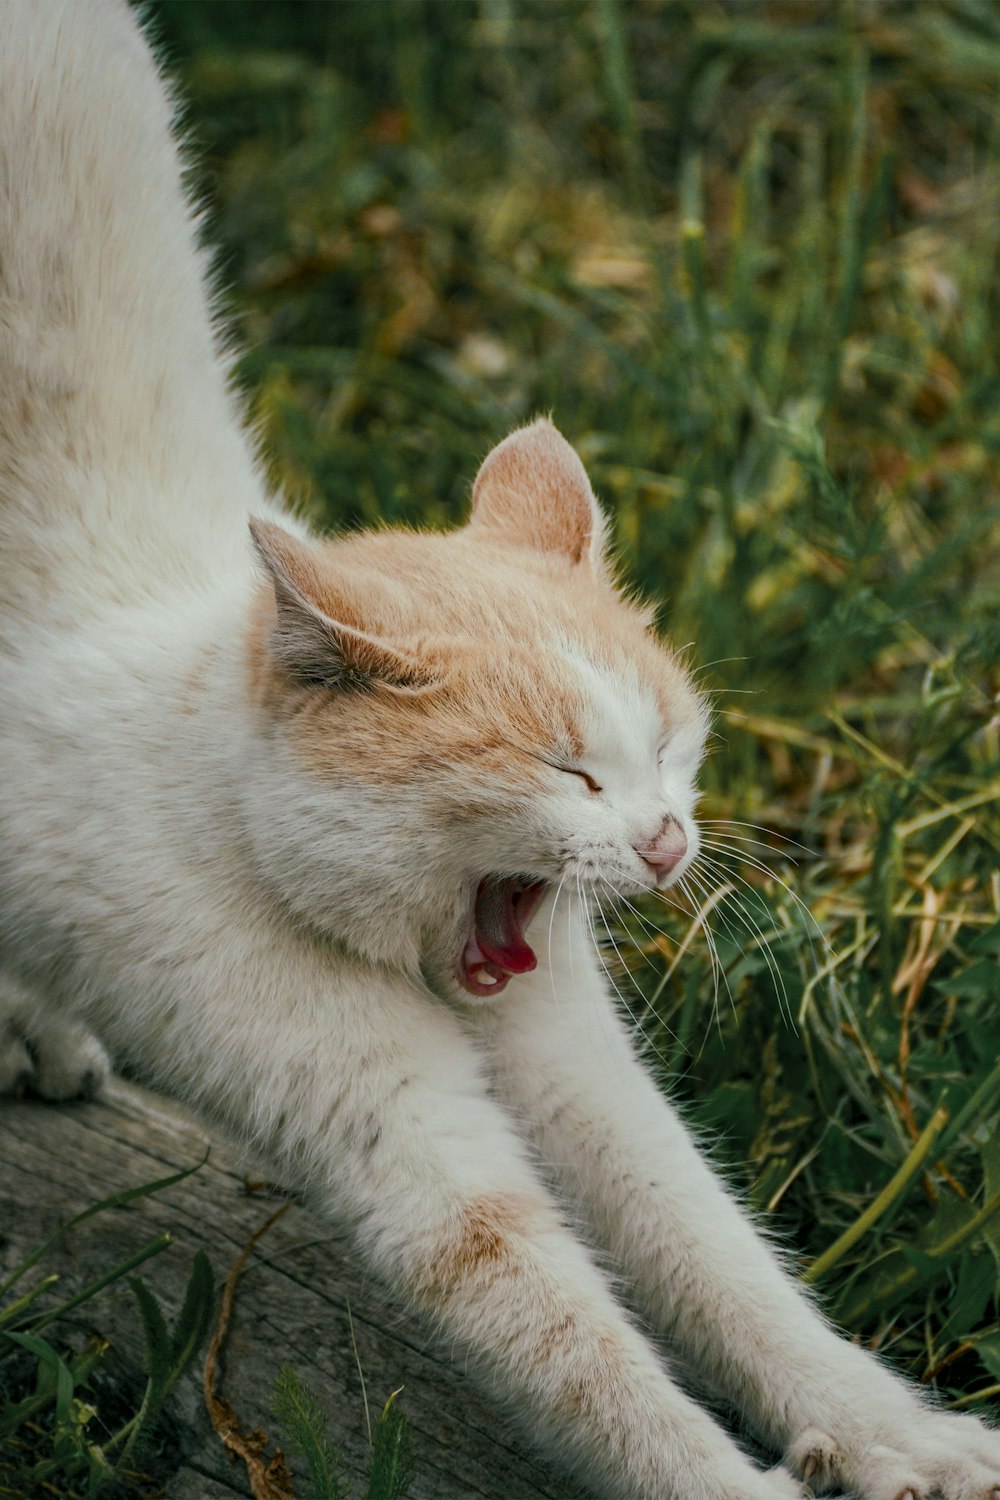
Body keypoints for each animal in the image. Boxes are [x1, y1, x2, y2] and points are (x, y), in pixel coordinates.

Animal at [1, 2, 1000, 1500]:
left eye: (669, 747)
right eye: (569, 773)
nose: (669, 842)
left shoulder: (576, 1066)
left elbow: (709, 1245)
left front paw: (892, 1431)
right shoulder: (392, 1132)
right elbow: (565, 1333)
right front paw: (736, 1483)